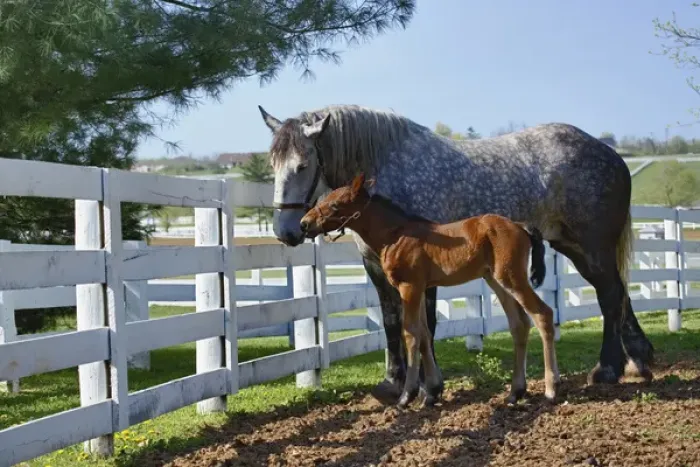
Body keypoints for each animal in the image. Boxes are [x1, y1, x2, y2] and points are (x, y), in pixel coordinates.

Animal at [300, 173, 561, 408]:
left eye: (335, 204)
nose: (304, 223)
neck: (396, 235)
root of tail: (520, 225)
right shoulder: (422, 289)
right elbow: (424, 334)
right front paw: (432, 393)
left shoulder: (409, 287)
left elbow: (411, 333)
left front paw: (408, 395)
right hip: (497, 281)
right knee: (519, 324)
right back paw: (515, 392)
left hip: (512, 279)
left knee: (543, 314)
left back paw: (551, 389)